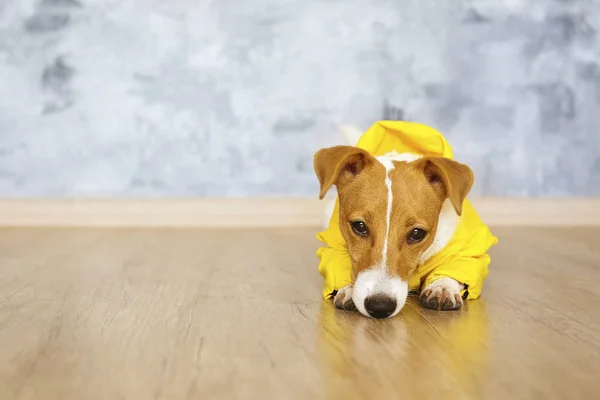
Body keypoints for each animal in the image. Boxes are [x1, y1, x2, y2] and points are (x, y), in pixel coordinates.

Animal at [314, 121, 496, 318]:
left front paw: (442, 287)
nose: (380, 306)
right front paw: (348, 288)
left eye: (417, 233)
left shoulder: (468, 250)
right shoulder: (333, 248)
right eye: (359, 226)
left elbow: (458, 266)